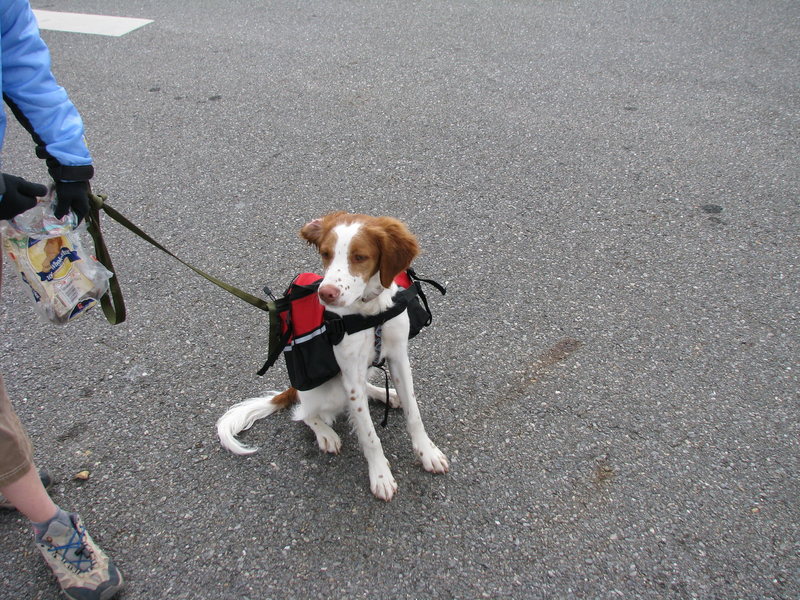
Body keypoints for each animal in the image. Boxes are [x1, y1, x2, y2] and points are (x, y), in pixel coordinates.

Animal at [216, 213, 446, 500]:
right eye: (325, 254)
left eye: (359, 257)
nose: (326, 294)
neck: (370, 315)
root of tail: (296, 389)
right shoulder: (351, 374)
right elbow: (369, 435)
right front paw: (380, 475)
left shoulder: (399, 358)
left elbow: (414, 414)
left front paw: (428, 453)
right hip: (329, 391)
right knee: (304, 413)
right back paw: (325, 433)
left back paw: (388, 395)